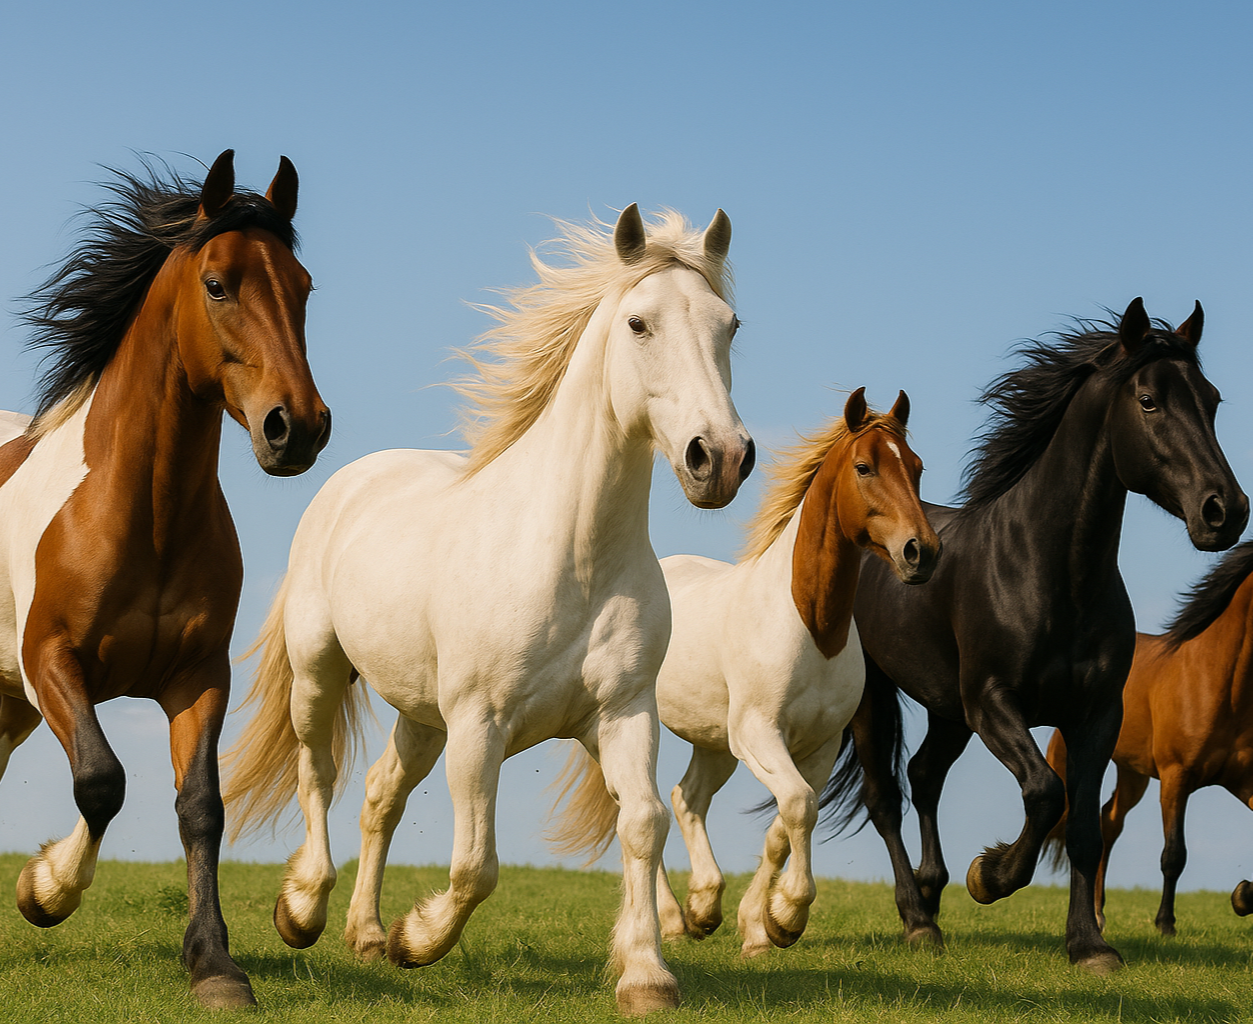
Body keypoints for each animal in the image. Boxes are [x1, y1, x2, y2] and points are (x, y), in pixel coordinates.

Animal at [0, 150, 331, 1008]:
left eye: (303, 285)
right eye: (217, 284)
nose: (297, 427)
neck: (141, 515)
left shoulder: (196, 676)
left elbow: (201, 808)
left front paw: (213, 964)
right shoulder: (51, 662)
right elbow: (101, 781)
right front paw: (45, 890)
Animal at [221, 204, 754, 1016]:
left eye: (730, 324)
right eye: (639, 323)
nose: (718, 458)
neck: (573, 557)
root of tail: (348, 481)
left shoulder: (623, 713)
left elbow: (643, 823)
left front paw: (646, 975)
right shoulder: (481, 725)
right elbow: (477, 865)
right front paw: (417, 940)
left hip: (421, 714)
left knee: (379, 797)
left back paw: (365, 934)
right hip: (321, 672)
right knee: (318, 772)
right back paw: (304, 910)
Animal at [548, 387, 939, 956]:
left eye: (917, 466)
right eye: (864, 467)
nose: (921, 552)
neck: (811, 625)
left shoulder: (817, 747)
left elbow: (784, 825)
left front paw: (760, 925)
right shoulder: (759, 734)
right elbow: (797, 806)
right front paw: (789, 914)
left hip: (713, 742)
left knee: (686, 799)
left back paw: (703, 906)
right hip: (641, 733)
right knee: (639, 807)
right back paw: (675, 916)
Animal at [1045, 539, 1253, 936]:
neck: (1220, 680)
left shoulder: (1243, 782)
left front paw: (1243, 896)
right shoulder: (1175, 779)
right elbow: (1174, 854)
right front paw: (1165, 924)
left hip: (1133, 773)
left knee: (1109, 821)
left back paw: (1099, 913)